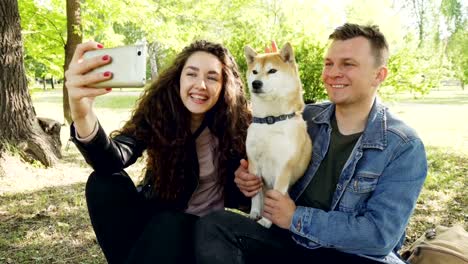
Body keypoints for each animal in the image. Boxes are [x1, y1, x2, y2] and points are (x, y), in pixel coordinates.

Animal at [245, 42, 310, 228]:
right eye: (254, 72)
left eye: (272, 71)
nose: (256, 83)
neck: (270, 120)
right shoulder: (253, 164)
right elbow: (256, 196)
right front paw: (254, 213)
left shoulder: (283, 167)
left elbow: (274, 199)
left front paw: (266, 222)